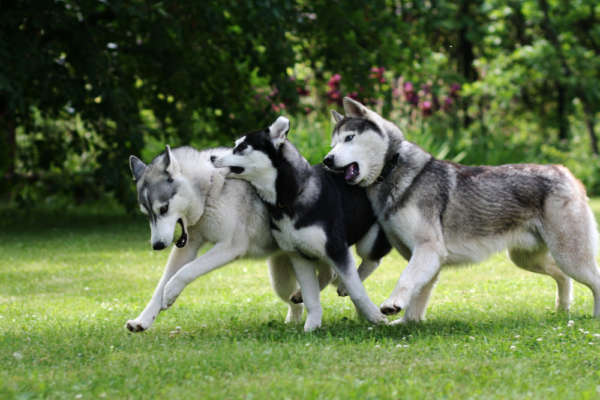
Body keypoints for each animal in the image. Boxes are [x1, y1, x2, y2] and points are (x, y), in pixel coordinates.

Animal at [213, 116, 392, 332]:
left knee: (371, 261)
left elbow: (356, 290)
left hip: (368, 239)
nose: (212, 157)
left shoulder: (336, 248)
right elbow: (311, 295)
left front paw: (375, 317)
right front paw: (312, 325)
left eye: (241, 147)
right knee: (328, 273)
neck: (289, 199)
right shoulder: (297, 254)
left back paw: (346, 285)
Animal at [324, 97, 600, 324]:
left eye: (349, 138)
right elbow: (417, 299)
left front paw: (393, 304)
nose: (327, 160)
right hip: (527, 258)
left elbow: (406, 279)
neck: (392, 168)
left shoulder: (428, 250)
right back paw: (562, 309)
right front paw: (407, 323)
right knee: (562, 276)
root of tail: (564, 171)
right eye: (332, 144)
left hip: (570, 256)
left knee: (593, 280)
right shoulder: (427, 260)